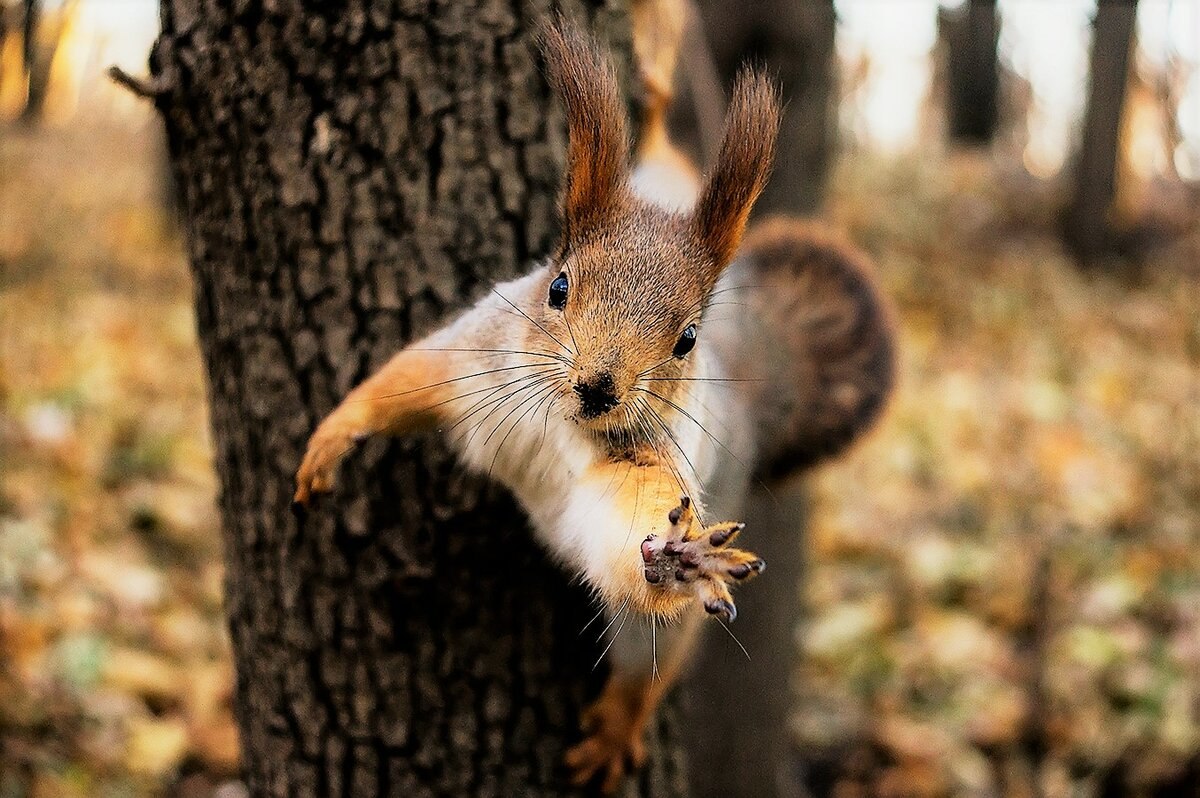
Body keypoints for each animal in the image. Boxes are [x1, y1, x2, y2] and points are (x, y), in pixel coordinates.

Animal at [290, 6, 892, 792]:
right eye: (558, 287)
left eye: (686, 339)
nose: (598, 387)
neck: (553, 418)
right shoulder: (473, 358)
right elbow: (400, 381)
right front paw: (333, 435)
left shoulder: (643, 464)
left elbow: (624, 530)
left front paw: (674, 557)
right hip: (661, 170)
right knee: (662, 132)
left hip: (661, 620)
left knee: (648, 653)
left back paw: (618, 723)